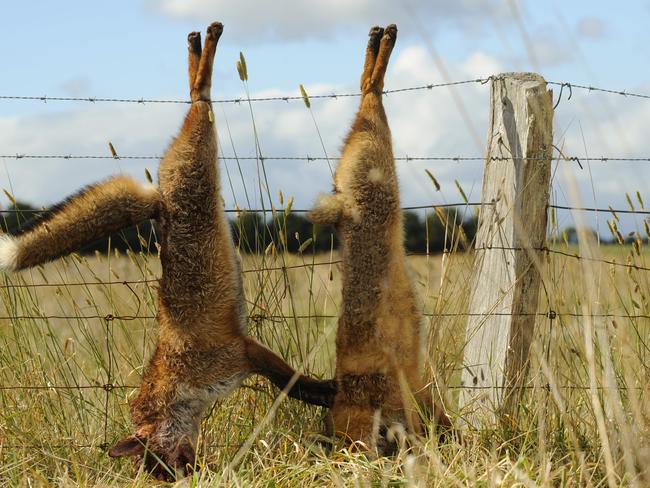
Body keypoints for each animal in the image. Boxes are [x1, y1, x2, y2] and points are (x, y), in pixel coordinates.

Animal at [0, 21, 334, 478]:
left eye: (155, 462)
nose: (181, 477)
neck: (179, 379)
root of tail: (159, 195)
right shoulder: (244, 354)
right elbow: (292, 386)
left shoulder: (242, 351)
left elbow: (297, 386)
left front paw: (330, 391)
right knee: (195, 91)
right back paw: (196, 46)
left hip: (202, 143)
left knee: (200, 95)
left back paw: (206, 45)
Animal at [306, 23, 448, 454]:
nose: (359, 449)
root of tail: (343, 204)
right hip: (378, 167)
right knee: (370, 96)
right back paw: (382, 40)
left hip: (373, 166)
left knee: (368, 98)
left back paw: (381, 39)